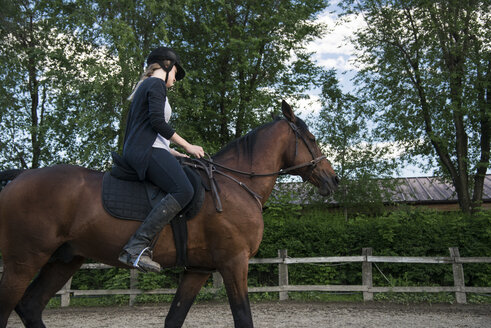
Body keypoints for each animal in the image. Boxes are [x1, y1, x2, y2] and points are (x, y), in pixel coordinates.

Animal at [0, 100, 338, 328]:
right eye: (312, 139)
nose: (333, 180)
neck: (237, 184)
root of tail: (18, 178)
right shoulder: (234, 262)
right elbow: (243, 319)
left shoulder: (198, 269)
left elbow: (174, 318)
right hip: (24, 261)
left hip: (65, 259)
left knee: (30, 307)